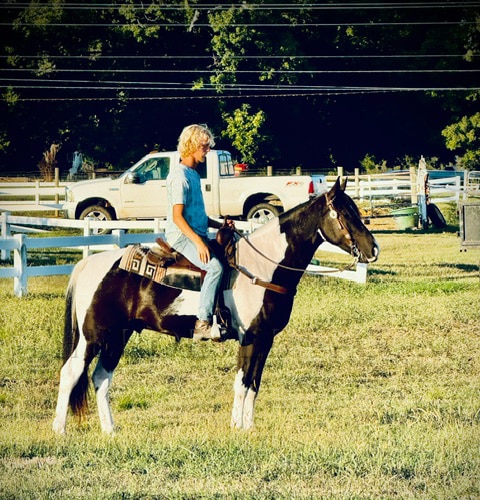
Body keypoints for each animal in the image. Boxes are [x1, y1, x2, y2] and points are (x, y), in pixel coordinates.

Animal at [52, 178, 379, 434]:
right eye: (344, 213)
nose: (373, 249)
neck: (263, 268)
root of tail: (89, 264)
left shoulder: (265, 339)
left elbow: (254, 383)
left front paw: (248, 428)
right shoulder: (250, 337)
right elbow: (242, 382)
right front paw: (238, 428)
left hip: (118, 336)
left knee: (101, 378)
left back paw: (110, 430)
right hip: (93, 336)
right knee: (71, 373)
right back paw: (60, 430)